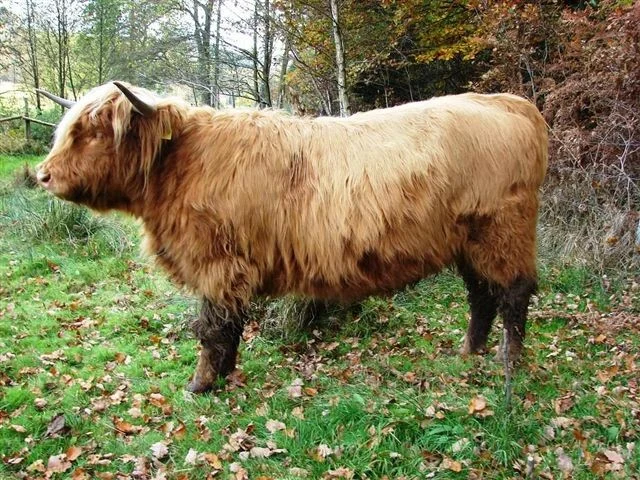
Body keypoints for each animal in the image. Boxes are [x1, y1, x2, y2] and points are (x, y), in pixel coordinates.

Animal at [36, 82, 548, 393]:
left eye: (95, 131)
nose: (43, 175)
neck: (180, 166)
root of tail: (509, 102)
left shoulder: (219, 265)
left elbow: (211, 328)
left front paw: (201, 384)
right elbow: (228, 327)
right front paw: (222, 375)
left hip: (503, 231)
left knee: (514, 293)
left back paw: (508, 365)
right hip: (468, 242)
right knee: (480, 294)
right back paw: (468, 352)